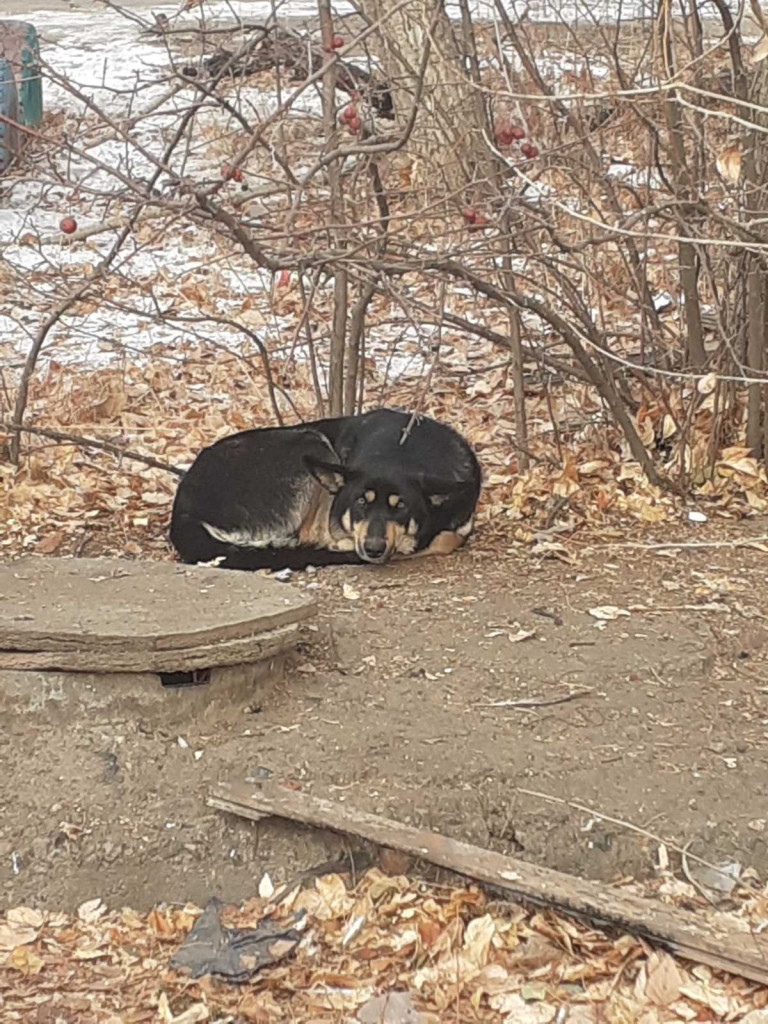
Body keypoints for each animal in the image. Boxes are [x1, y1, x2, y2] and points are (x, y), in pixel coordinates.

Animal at [169, 405, 481, 569]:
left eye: (401, 506)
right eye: (360, 502)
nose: (373, 549)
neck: (403, 451)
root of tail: (182, 510)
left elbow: (447, 538)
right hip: (309, 441)